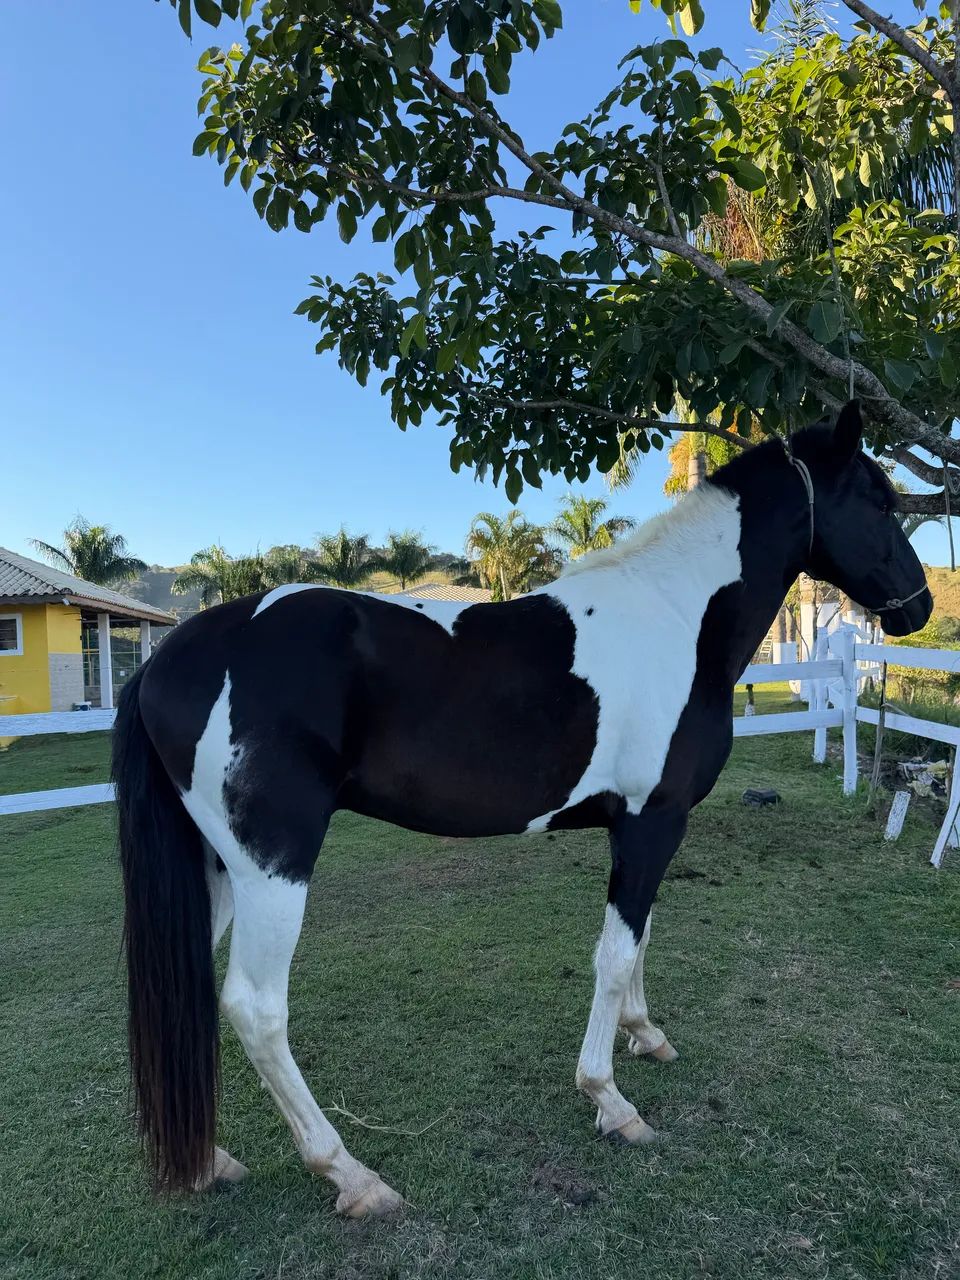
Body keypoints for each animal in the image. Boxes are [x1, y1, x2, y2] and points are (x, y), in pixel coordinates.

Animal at [112, 401, 931, 1217]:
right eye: (881, 502)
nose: (921, 606)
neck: (677, 616)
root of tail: (170, 657)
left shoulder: (640, 828)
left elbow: (640, 937)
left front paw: (645, 1034)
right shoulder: (654, 820)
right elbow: (614, 953)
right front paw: (610, 1100)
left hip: (220, 868)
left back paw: (211, 1161)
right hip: (272, 866)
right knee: (255, 1008)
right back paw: (350, 1174)